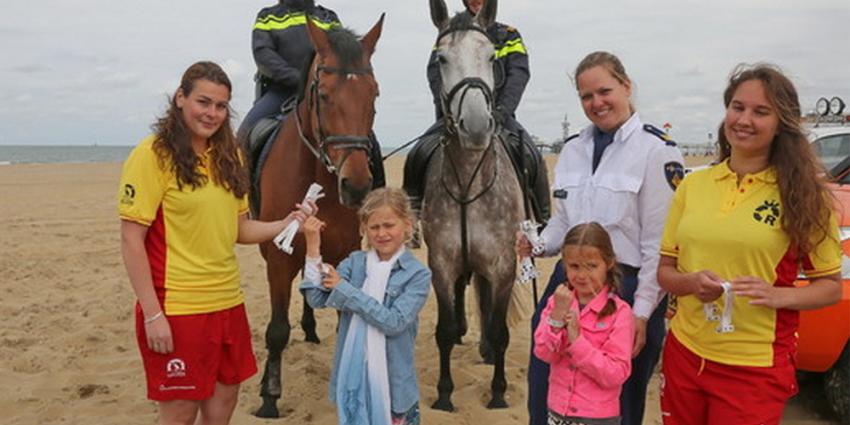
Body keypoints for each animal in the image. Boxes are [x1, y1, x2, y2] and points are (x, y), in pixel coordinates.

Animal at [252, 16, 384, 418]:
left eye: (373, 95)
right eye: (323, 95)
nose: (356, 185)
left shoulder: (342, 252)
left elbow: (345, 318)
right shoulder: (279, 257)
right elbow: (277, 330)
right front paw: (269, 396)